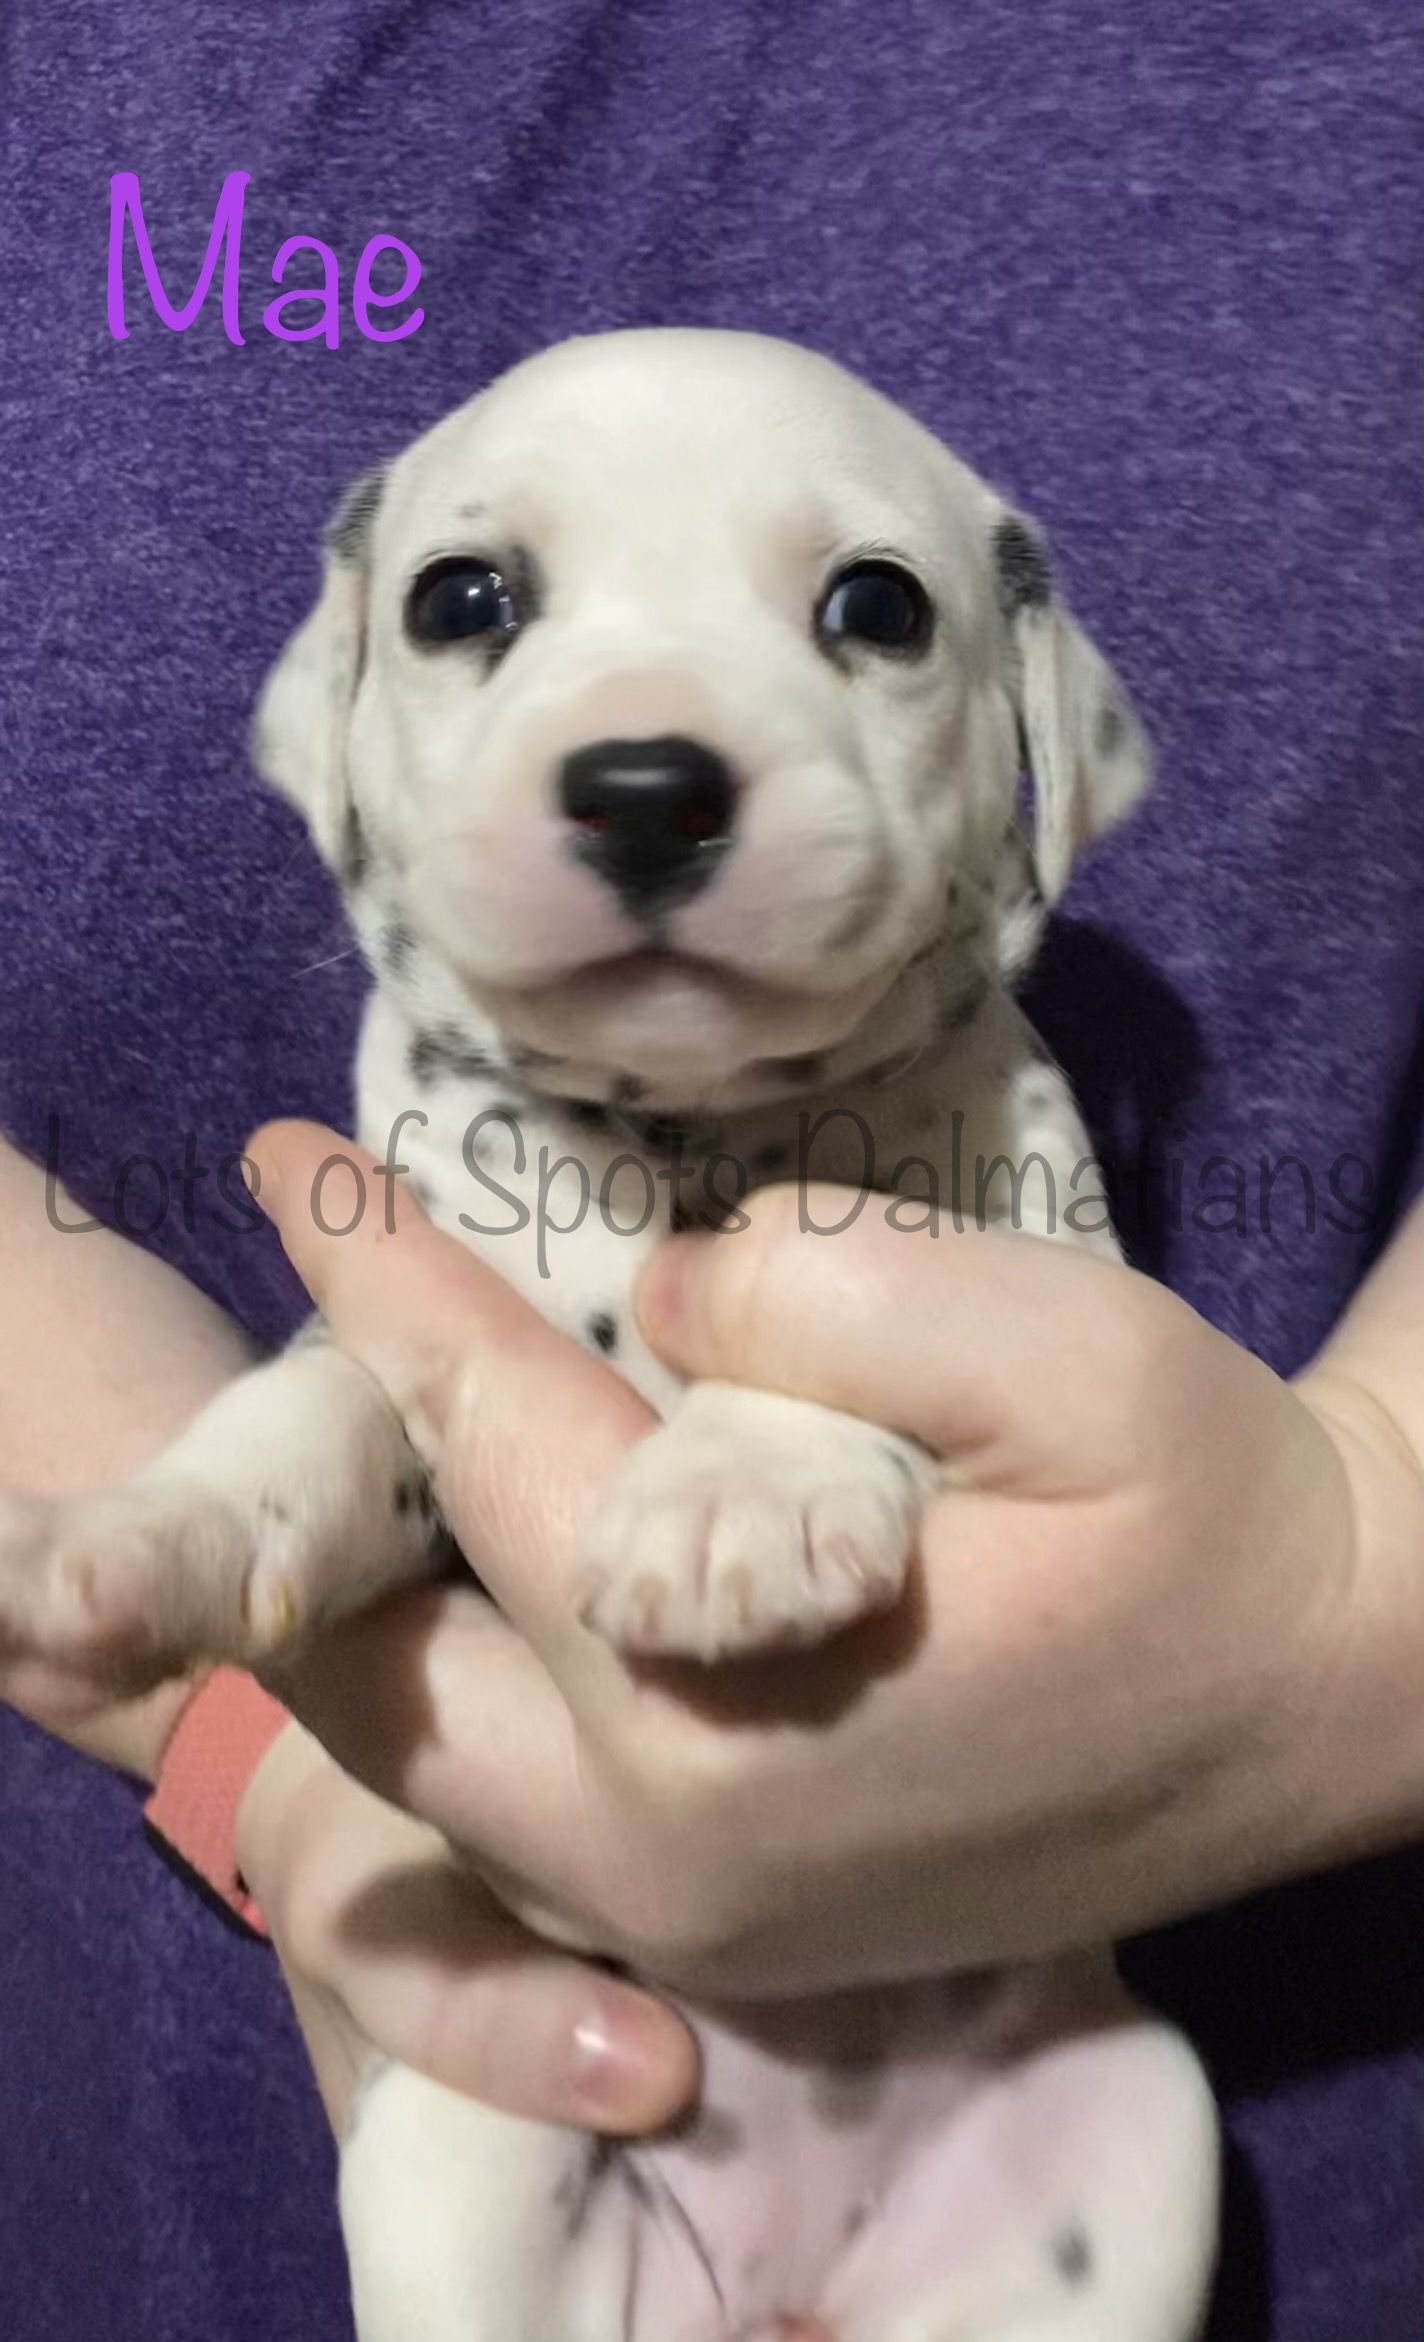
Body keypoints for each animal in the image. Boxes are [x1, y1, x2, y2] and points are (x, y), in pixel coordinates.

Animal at [16, 330, 1220, 2339]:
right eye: (461, 600)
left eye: (877, 606)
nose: (647, 786)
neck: (676, 1138)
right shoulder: (409, 1335)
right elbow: (318, 1410)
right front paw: (162, 1533)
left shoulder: (1046, 1282)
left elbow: (848, 1288)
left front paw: (742, 1495)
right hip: (463, 2155)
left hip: (1136, 2138)